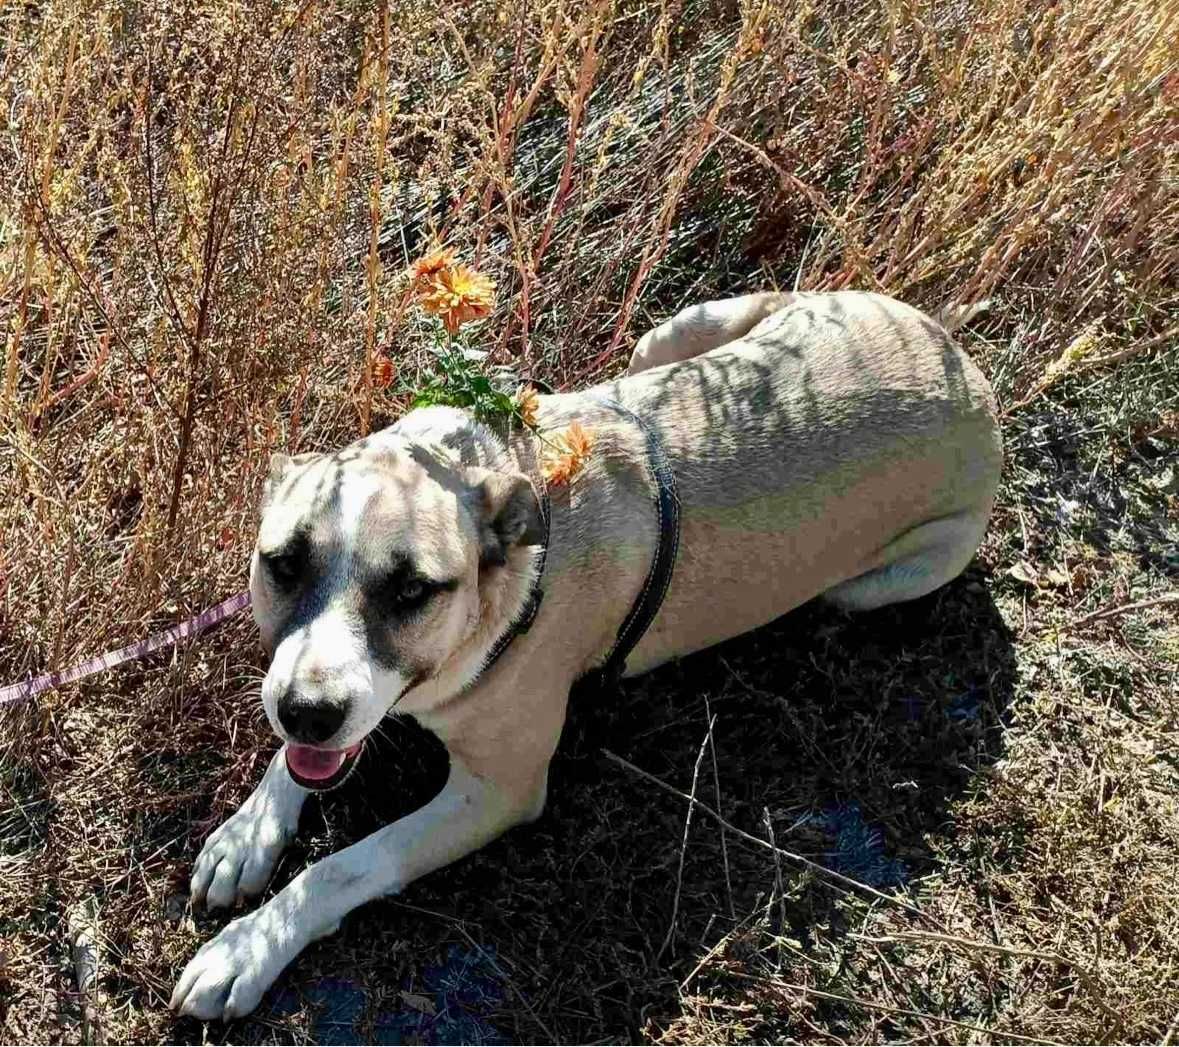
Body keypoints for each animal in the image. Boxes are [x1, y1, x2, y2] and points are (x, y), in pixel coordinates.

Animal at [172, 290, 1004, 1018]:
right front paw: (249, 832)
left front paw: (247, 948)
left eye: (412, 590)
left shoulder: (496, 792)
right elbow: (294, 767)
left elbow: (344, 864)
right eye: (283, 564)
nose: (309, 713)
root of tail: (959, 357)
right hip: (679, 331)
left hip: (883, 580)